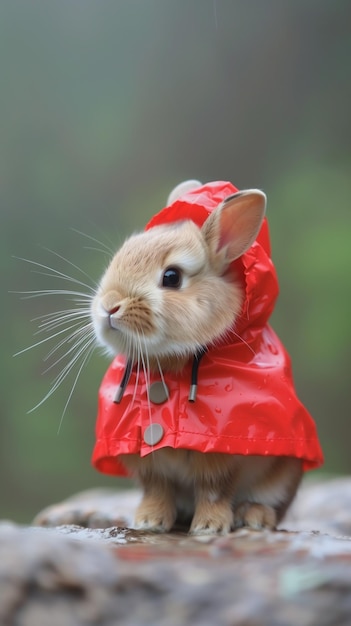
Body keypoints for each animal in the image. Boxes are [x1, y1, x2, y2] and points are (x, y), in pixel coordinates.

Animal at [90, 179, 322, 532]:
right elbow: (156, 488)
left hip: (283, 475)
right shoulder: (145, 458)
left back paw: (254, 517)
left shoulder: (220, 453)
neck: (168, 365)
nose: (109, 306)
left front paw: (209, 526)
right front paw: (149, 521)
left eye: (171, 277)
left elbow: (214, 489)